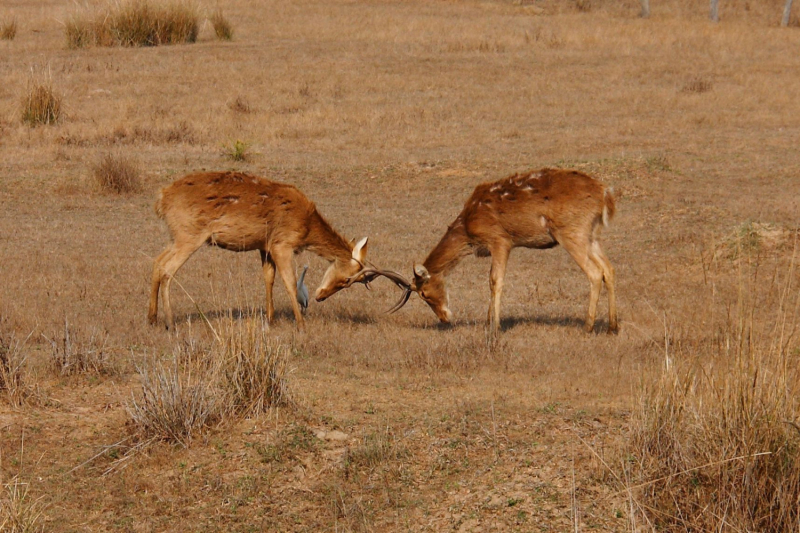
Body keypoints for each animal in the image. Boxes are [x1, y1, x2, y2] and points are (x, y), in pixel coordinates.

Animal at [148, 171, 390, 328]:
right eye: (349, 280)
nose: (320, 296)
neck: (307, 225)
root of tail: (161, 199)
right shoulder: (282, 244)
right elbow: (290, 282)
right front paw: (301, 324)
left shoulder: (264, 247)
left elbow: (269, 278)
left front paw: (270, 319)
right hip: (189, 235)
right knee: (168, 270)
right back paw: (170, 322)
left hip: (175, 236)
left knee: (158, 262)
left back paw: (152, 317)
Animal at [350, 168, 620, 338]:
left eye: (424, 293)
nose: (444, 318)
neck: (469, 228)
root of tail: (606, 195)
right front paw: (490, 321)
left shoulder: (500, 239)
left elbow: (494, 280)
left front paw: (494, 327)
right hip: (591, 235)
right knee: (608, 268)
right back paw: (612, 327)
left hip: (572, 231)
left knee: (594, 272)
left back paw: (587, 327)